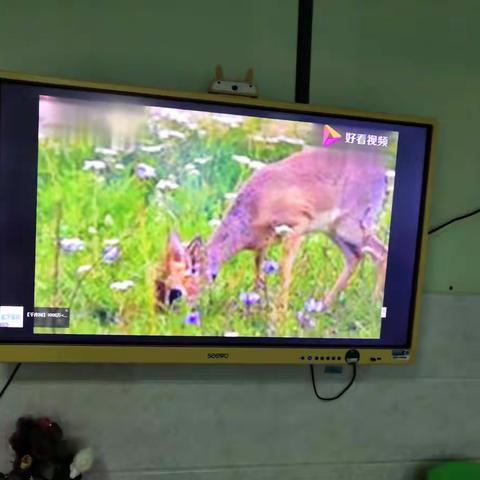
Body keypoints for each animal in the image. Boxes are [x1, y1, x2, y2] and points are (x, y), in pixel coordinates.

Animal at [158, 144, 390, 314]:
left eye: (176, 291)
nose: (168, 314)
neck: (254, 206)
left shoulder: (297, 227)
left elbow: (284, 271)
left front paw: (279, 316)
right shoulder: (262, 246)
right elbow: (259, 273)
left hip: (351, 227)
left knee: (381, 253)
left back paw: (373, 305)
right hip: (335, 232)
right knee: (355, 257)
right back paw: (323, 307)